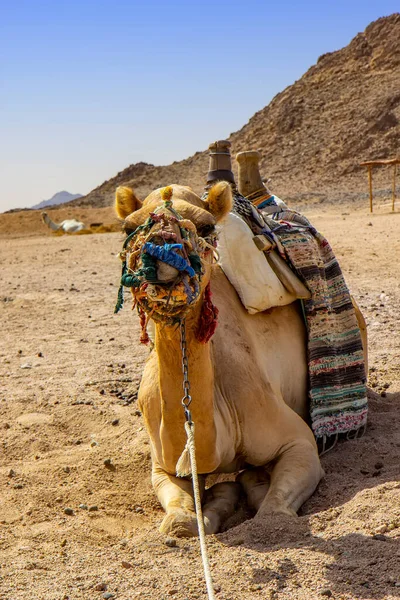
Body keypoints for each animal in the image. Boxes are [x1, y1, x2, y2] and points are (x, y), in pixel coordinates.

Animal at [115, 184, 324, 540]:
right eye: (129, 227)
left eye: (206, 226)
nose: (161, 246)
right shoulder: (162, 465)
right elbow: (181, 521)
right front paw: (217, 502)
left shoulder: (299, 441)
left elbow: (273, 513)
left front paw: (250, 487)